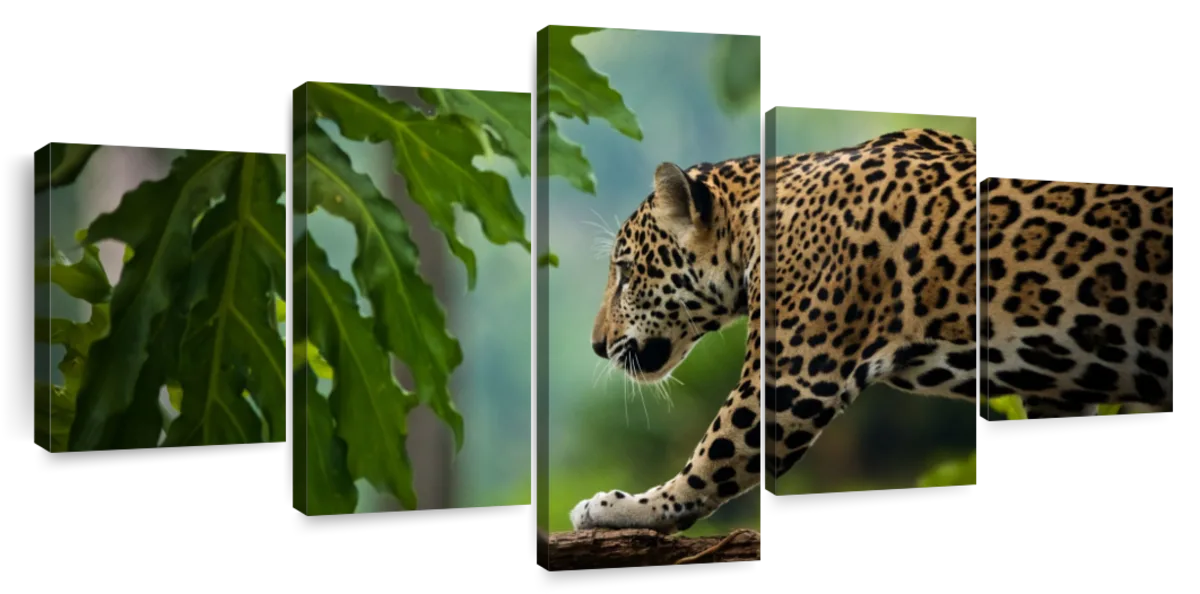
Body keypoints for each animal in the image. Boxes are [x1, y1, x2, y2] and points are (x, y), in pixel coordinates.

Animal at [568, 128, 1176, 534]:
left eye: (625, 272)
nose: (595, 346)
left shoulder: (790, 382)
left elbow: (707, 463)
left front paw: (622, 508)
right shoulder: (1061, 394)